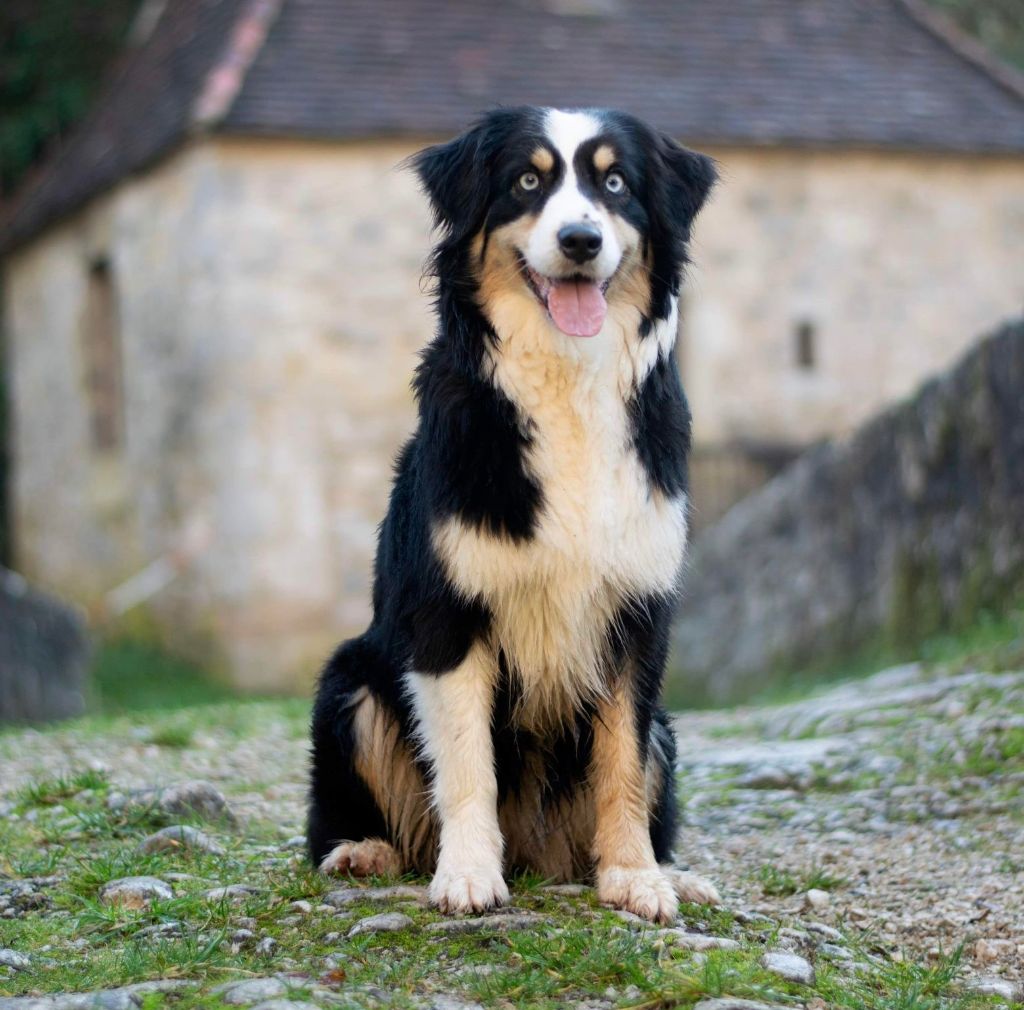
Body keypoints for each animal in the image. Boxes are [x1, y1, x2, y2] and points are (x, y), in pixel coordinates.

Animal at [309, 104, 720, 921]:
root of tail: (538, 857)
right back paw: (363, 852)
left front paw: (636, 877)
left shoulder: (637, 614)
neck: (567, 376)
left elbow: (622, 762)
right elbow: (467, 761)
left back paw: (674, 871)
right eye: (528, 182)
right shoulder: (445, 610)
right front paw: (468, 875)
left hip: (668, 729)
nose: (581, 240)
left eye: (615, 183)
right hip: (350, 682)